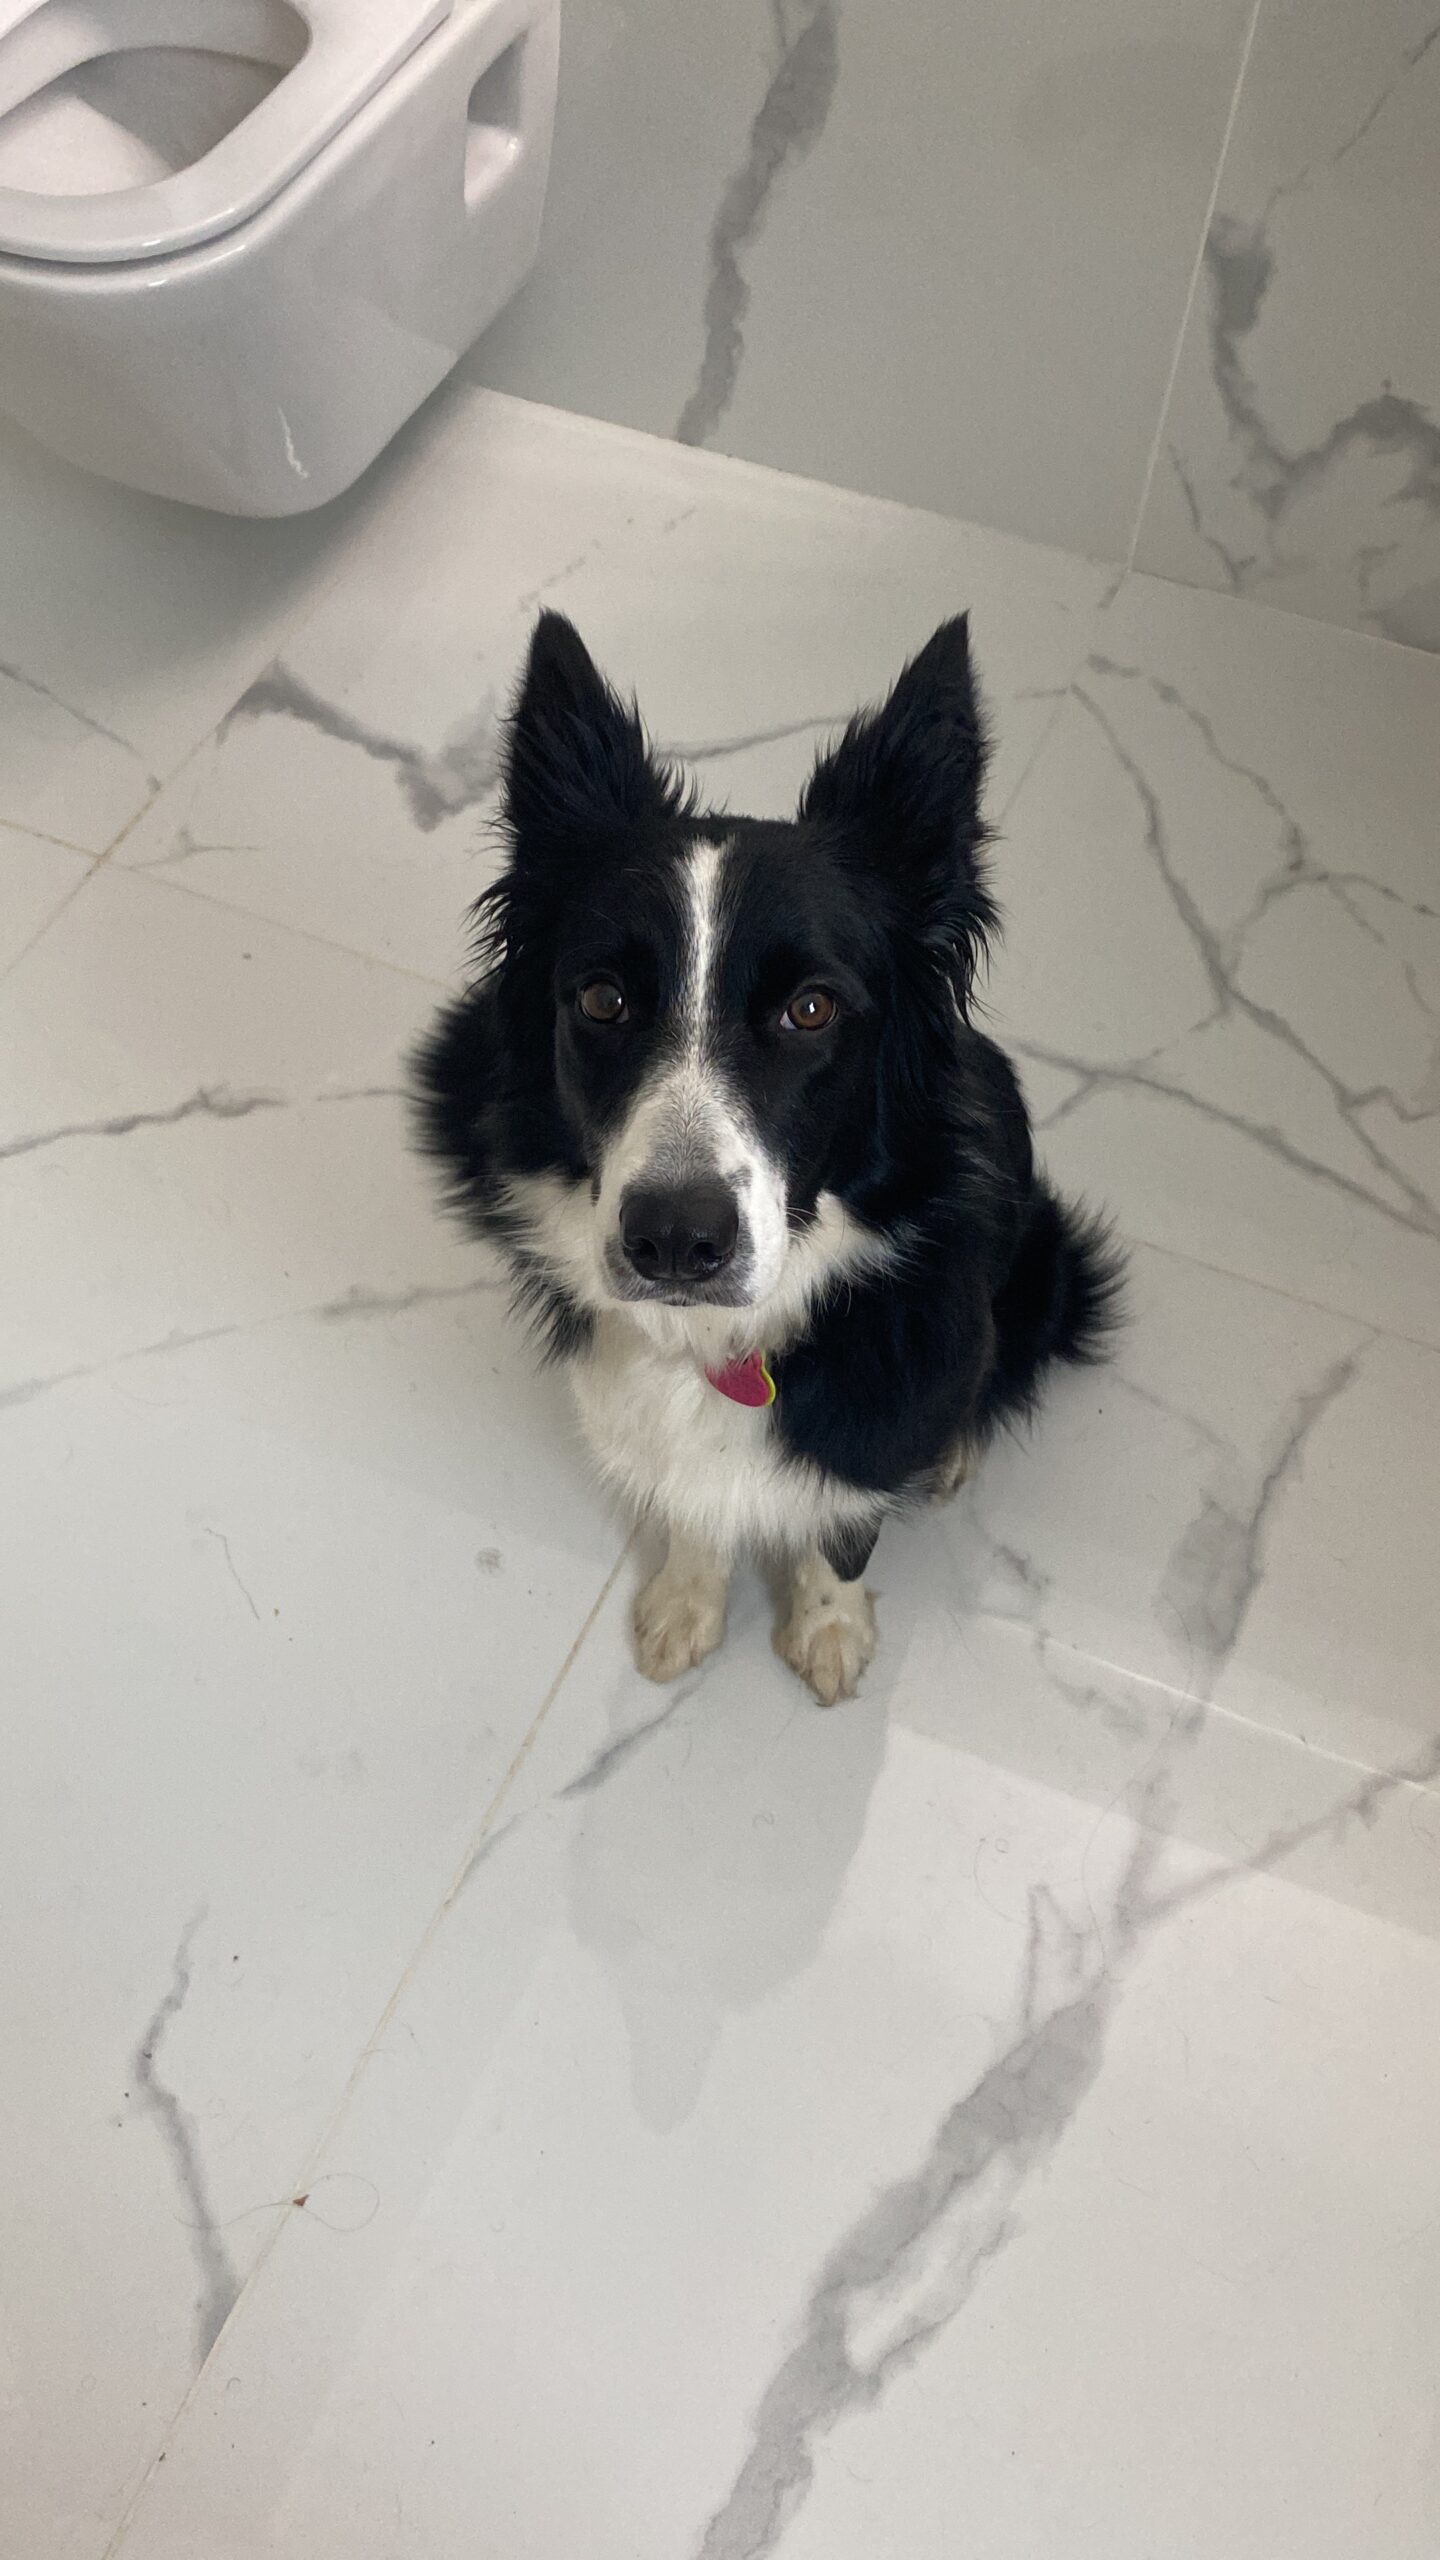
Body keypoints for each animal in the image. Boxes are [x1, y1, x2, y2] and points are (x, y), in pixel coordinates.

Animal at [415, 609, 1122, 1703]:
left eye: (811, 1010)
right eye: (603, 998)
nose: (675, 1240)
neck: (728, 1347)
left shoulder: (878, 1409)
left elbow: (843, 1525)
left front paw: (828, 1626)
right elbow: (693, 1504)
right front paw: (686, 1601)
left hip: (1044, 1260)